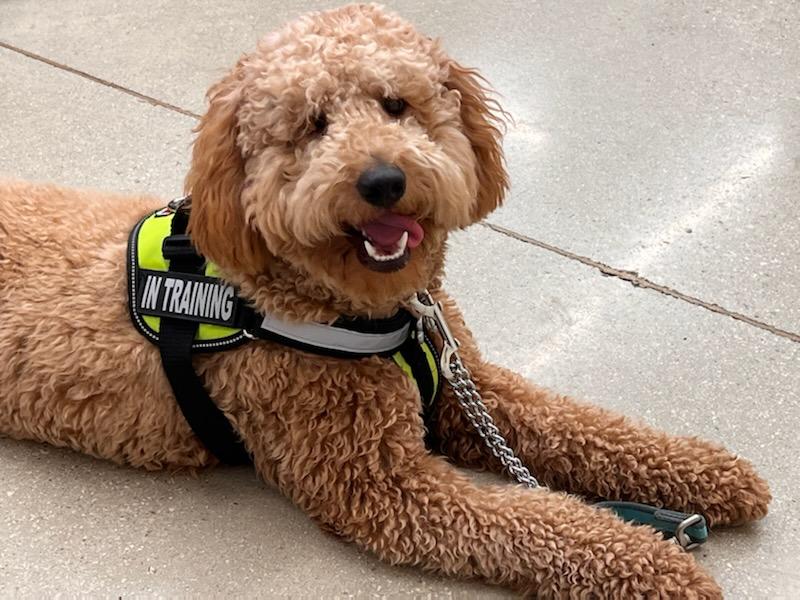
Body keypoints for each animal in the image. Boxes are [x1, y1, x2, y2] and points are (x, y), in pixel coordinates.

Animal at [0, 3, 768, 596]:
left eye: (396, 104)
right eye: (313, 124)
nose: (381, 180)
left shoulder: (466, 387)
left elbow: (584, 426)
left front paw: (706, 472)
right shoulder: (381, 484)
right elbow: (533, 522)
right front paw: (654, 562)